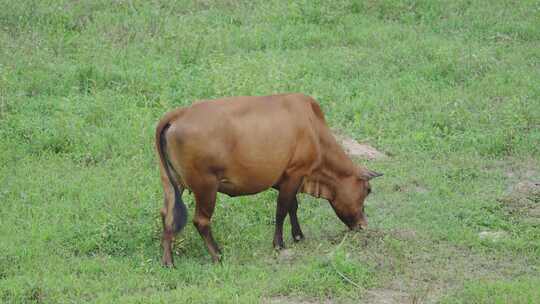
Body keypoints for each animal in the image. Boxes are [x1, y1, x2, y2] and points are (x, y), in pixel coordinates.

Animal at [156, 93, 382, 266]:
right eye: (368, 190)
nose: (363, 225)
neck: (314, 129)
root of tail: (180, 113)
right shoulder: (295, 173)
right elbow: (282, 209)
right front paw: (279, 244)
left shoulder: (286, 179)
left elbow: (292, 207)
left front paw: (298, 236)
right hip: (206, 186)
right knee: (200, 221)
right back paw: (217, 255)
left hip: (172, 182)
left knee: (167, 214)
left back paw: (168, 261)